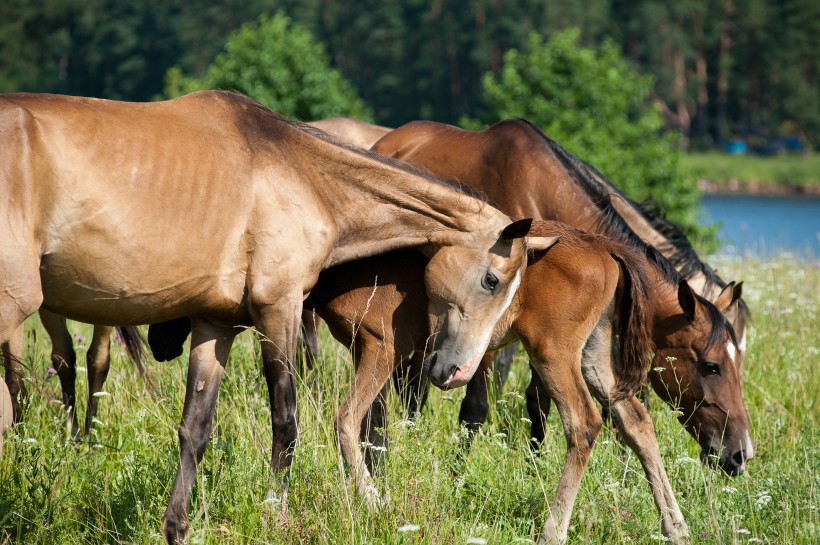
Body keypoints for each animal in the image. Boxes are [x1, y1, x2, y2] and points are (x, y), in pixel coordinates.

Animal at [1, 91, 552, 540]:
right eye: (492, 280)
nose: (454, 372)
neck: (301, 173)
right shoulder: (279, 308)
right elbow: (286, 422)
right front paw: (275, 510)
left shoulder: (215, 325)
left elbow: (195, 428)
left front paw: (177, 526)